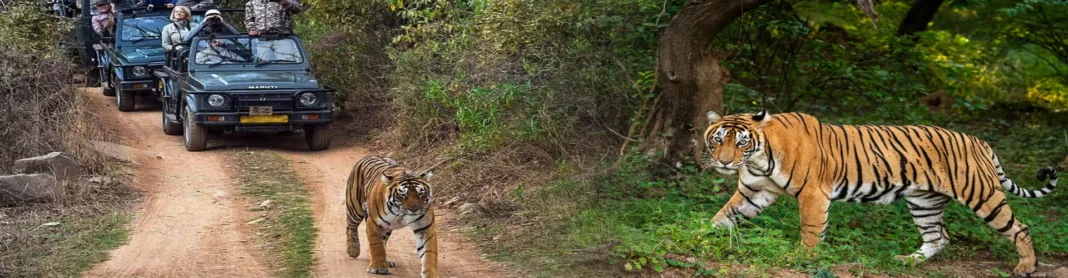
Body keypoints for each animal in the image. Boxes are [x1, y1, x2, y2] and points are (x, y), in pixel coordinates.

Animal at [700, 109, 1059, 275]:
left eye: (741, 142)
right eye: (718, 139)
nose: (724, 161)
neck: (760, 158)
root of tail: (979, 141)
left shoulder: (814, 194)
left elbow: (811, 230)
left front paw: (803, 257)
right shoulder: (754, 191)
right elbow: (723, 217)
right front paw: (699, 236)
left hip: (982, 195)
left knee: (1020, 228)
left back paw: (1026, 267)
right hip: (924, 201)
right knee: (939, 236)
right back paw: (908, 261)